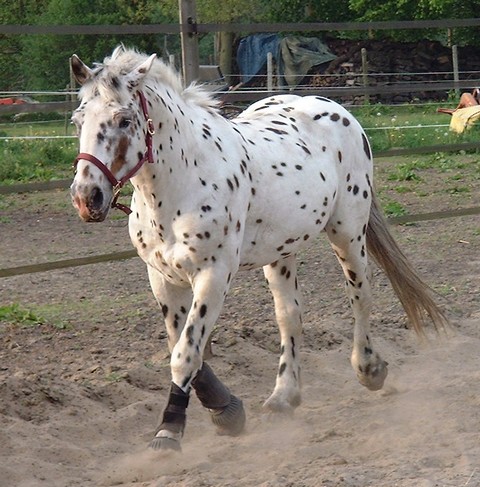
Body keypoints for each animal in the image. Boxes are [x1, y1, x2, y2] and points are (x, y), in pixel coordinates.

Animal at [69, 45, 447, 451]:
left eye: (124, 120)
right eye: (78, 120)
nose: (86, 198)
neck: (181, 183)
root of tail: (336, 109)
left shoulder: (213, 275)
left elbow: (186, 355)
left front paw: (170, 431)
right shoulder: (161, 279)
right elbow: (185, 349)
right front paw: (227, 410)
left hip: (347, 231)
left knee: (360, 295)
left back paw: (369, 369)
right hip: (281, 253)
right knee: (290, 316)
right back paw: (284, 395)